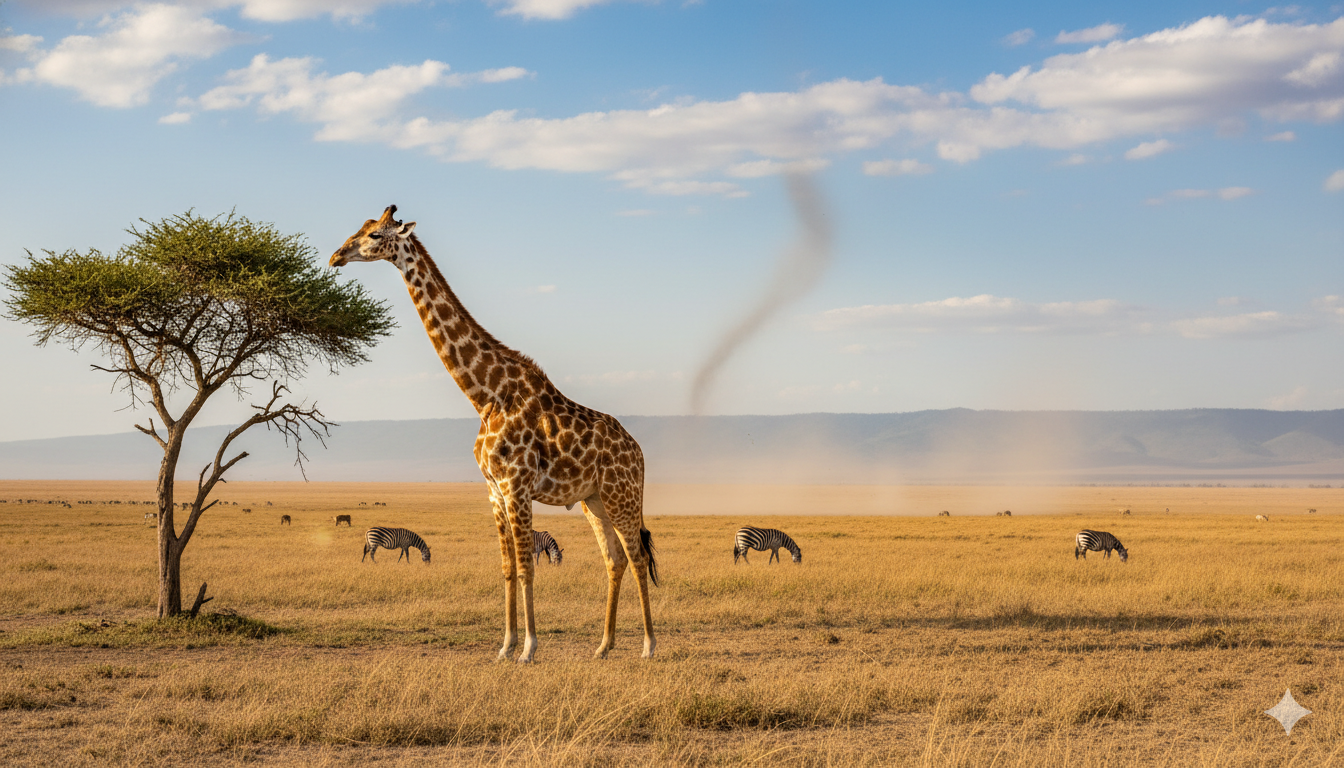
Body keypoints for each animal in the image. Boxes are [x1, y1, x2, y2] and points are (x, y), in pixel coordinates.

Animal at [330, 205, 657, 663]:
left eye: (376, 235)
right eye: (360, 229)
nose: (336, 256)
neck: (485, 395)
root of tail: (639, 451)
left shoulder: (517, 486)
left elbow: (526, 566)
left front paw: (529, 649)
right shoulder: (493, 490)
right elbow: (506, 568)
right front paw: (505, 647)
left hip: (621, 495)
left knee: (638, 556)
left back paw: (648, 645)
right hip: (594, 500)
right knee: (615, 559)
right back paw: (603, 646)